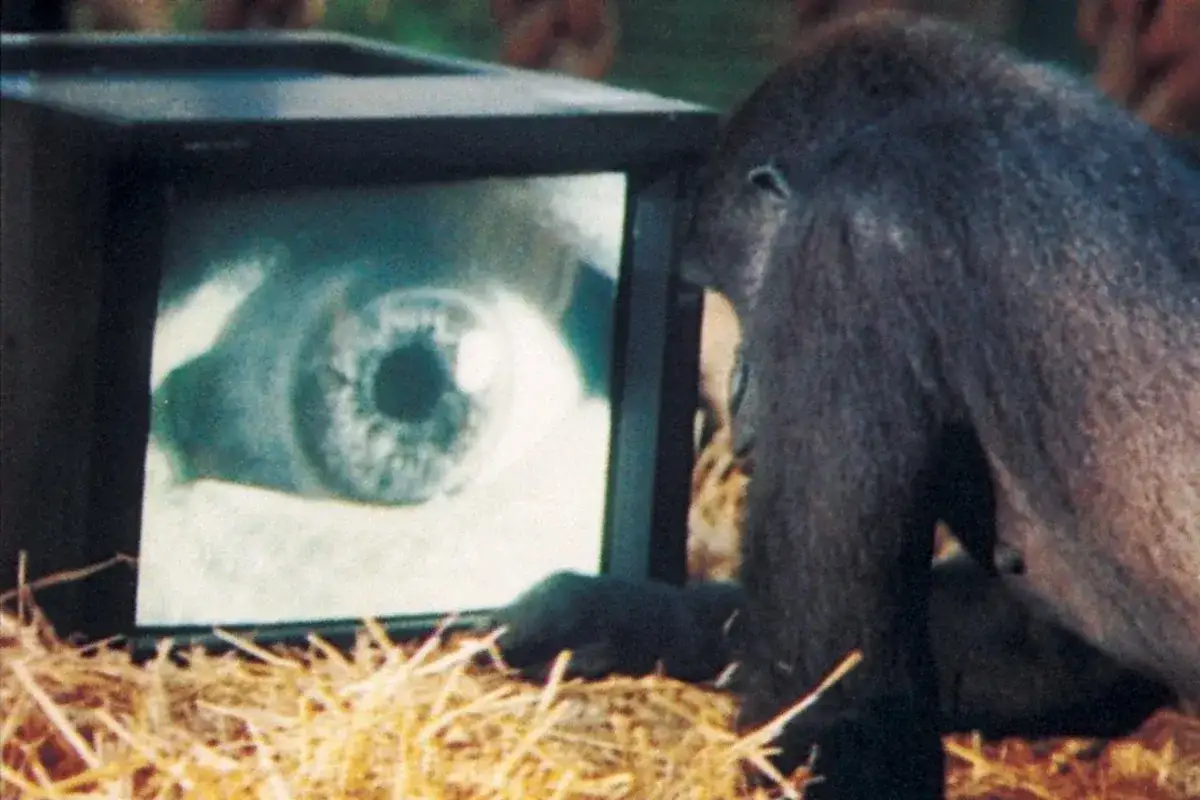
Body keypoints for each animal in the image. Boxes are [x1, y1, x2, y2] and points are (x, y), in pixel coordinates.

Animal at [486, 11, 1199, 799]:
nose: (736, 386)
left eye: (727, 292)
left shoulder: (850, 243)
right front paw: (622, 616)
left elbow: (849, 719)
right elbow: (1051, 643)